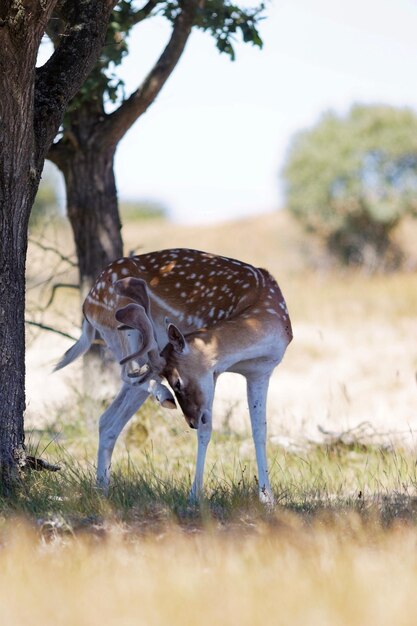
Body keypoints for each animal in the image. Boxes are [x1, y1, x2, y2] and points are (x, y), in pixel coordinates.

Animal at [53, 247, 290, 502]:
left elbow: (260, 430)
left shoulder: (261, 371)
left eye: (178, 381)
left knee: (109, 417)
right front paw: (195, 496)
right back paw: (161, 397)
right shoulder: (214, 371)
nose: (191, 422)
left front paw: (267, 499)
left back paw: (102, 490)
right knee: (129, 374)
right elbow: (207, 430)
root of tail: (87, 305)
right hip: (123, 332)